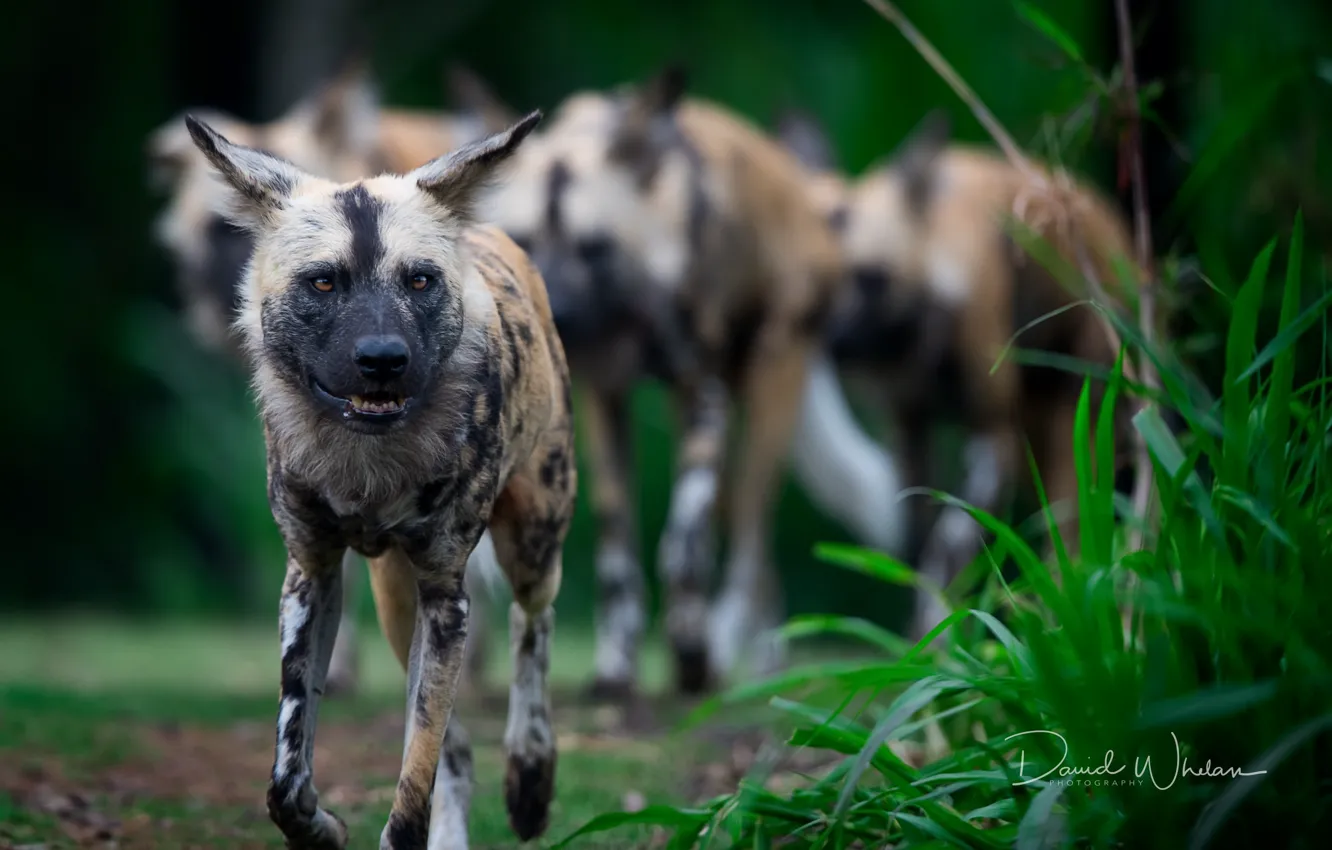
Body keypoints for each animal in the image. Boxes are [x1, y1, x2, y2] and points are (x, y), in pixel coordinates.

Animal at [181, 107, 567, 850]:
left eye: (419, 281)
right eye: (324, 283)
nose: (383, 359)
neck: (366, 463)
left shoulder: (447, 597)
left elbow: (411, 788)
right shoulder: (313, 575)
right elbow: (288, 772)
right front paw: (320, 828)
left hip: (530, 544)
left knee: (532, 627)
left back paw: (531, 776)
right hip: (395, 604)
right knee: (458, 752)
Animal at [482, 66, 905, 698]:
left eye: (595, 247)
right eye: (526, 240)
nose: (558, 311)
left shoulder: (700, 392)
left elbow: (683, 548)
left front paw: (688, 651)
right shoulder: (606, 398)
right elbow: (617, 549)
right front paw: (617, 666)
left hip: (765, 394)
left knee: (751, 534)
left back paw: (732, 657)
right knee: (750, 542)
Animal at [777, 109, 1145, 642]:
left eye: (869, 278)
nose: (827, 338)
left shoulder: (990, 436)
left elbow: (945, 550)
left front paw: (938, 636)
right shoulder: (908, 431)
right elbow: (918, 549)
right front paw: (927, 643)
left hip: (1073, 424)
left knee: (1071, 536)